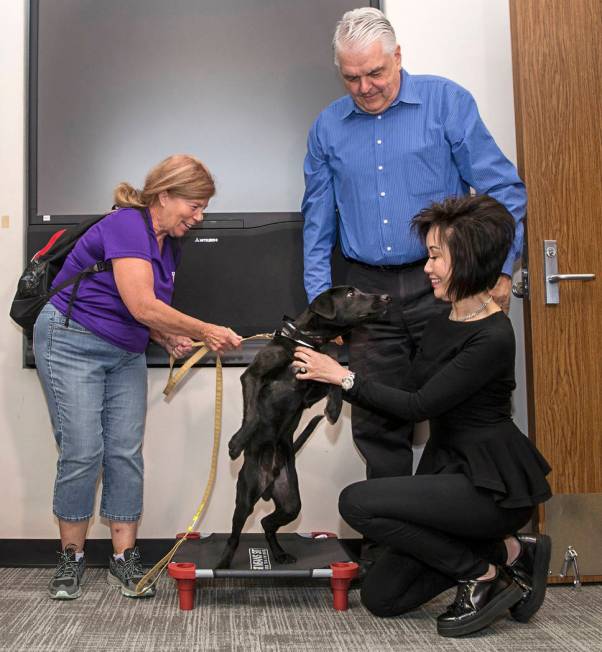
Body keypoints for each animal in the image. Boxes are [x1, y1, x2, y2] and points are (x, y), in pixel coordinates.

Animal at [216, 288, 390, 568]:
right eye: (351, 293)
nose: (386, 298)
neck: (305, 341)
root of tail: (268, 482)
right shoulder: (252, 376)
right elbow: (253, 415)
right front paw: (236, 443)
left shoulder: (312, 386)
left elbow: (335, 376)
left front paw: (334, 410)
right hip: (246, 496)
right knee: (235, 534)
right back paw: (223, 564)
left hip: (289, 500)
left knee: (267, 523)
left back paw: (278, 553)